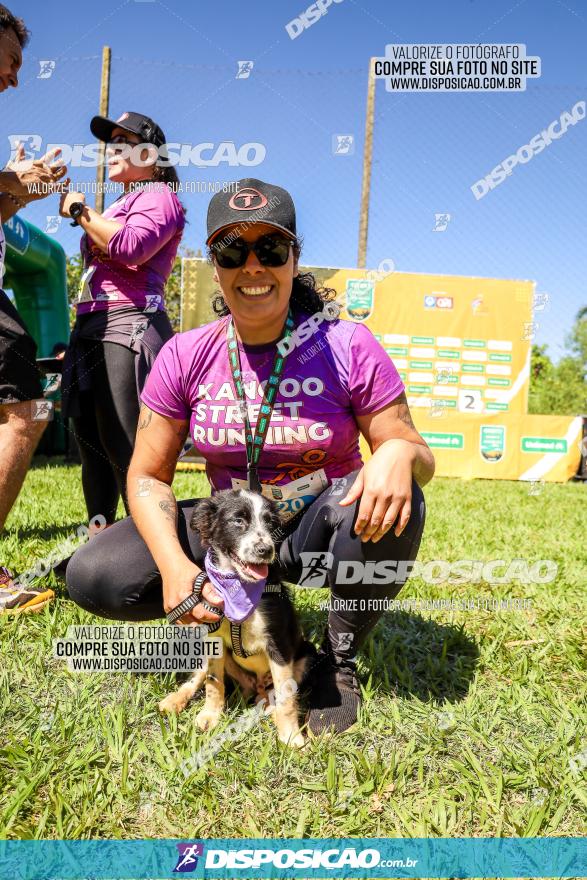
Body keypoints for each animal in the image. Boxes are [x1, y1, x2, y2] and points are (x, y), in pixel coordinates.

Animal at [157, 492, 316, 744]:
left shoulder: (278, 644)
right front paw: (210, 715)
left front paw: (291, 737)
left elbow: (286, 696)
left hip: (307, 654)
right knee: (201, 675)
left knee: (274, 691)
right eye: (238, 521)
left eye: (271, 523)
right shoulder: (213, 638)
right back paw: (175, 700)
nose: (265, 550)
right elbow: (213, 681)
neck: (240, 588)